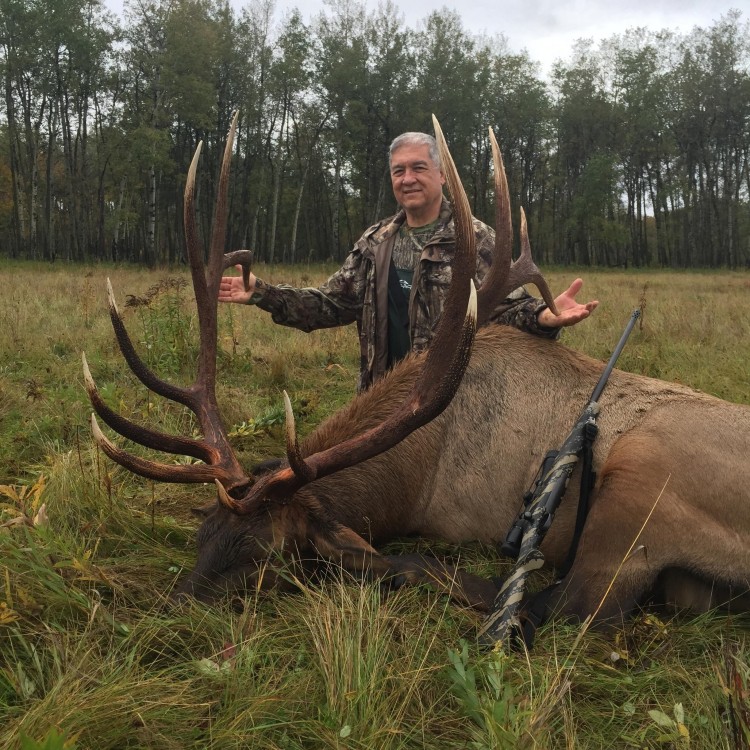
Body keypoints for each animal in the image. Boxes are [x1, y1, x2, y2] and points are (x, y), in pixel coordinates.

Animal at [83, 113, 750, 635]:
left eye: (261, 556)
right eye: (203, 535)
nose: (169, 616)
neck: (415, 472)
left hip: (640, 477)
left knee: (568, 607)